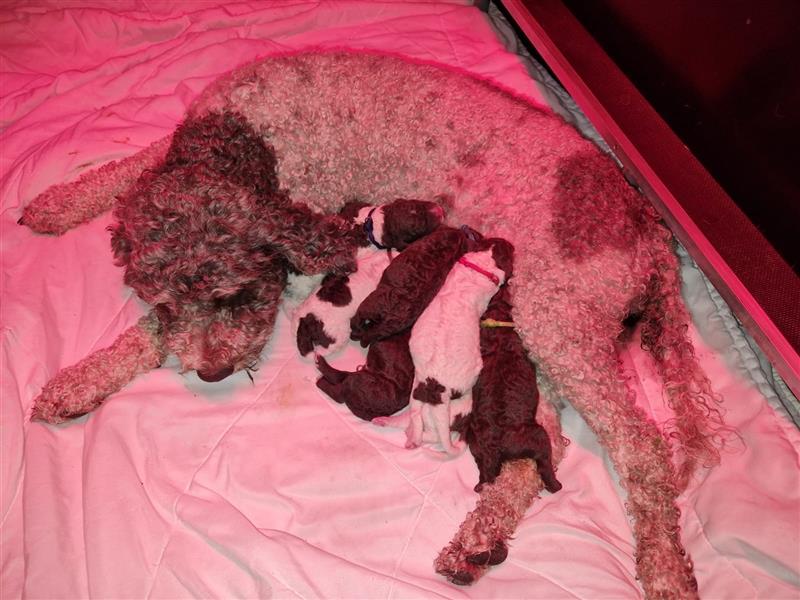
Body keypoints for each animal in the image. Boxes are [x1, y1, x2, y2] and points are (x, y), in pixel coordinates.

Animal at [294, 197, 444, 358]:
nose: (439, 210)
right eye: (416, 229)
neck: (372, 224)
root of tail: (306, 323)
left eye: (416, 203)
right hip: (336, 337)